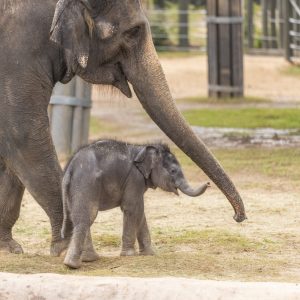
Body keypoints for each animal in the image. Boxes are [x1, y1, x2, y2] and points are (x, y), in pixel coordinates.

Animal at [0, 0, 246, 255]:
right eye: (134, 31)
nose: (238, 217)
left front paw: (10, 248)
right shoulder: (18, 54)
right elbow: (22, 136)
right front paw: (74, 249)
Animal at [62, 139, 210, 268]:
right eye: (173, 171)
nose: (208, 183)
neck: (142, 148)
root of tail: (69, 169)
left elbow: (140, 211)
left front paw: (150, 254)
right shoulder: (134, 178)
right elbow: (133, 208)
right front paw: (129, 255)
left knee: (78, 217)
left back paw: (89, 259)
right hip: (86, 183)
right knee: (87, 217)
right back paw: (72, 265)